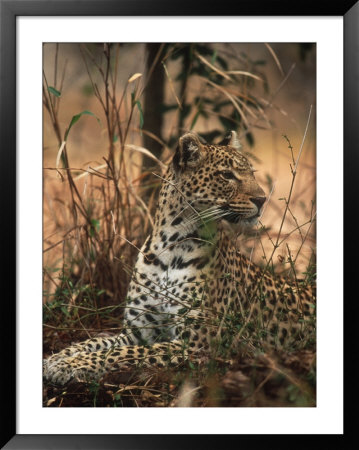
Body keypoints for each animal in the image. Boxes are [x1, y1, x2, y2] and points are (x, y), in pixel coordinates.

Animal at [43, 131, 316, 386]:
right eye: (226, 175)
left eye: (251, 173)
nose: (261, 199)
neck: (170, 246)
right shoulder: (138, 332)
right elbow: (95, 343)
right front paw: (57, 359)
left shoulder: (194, 343)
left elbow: (124, 353)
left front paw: (71, 365)